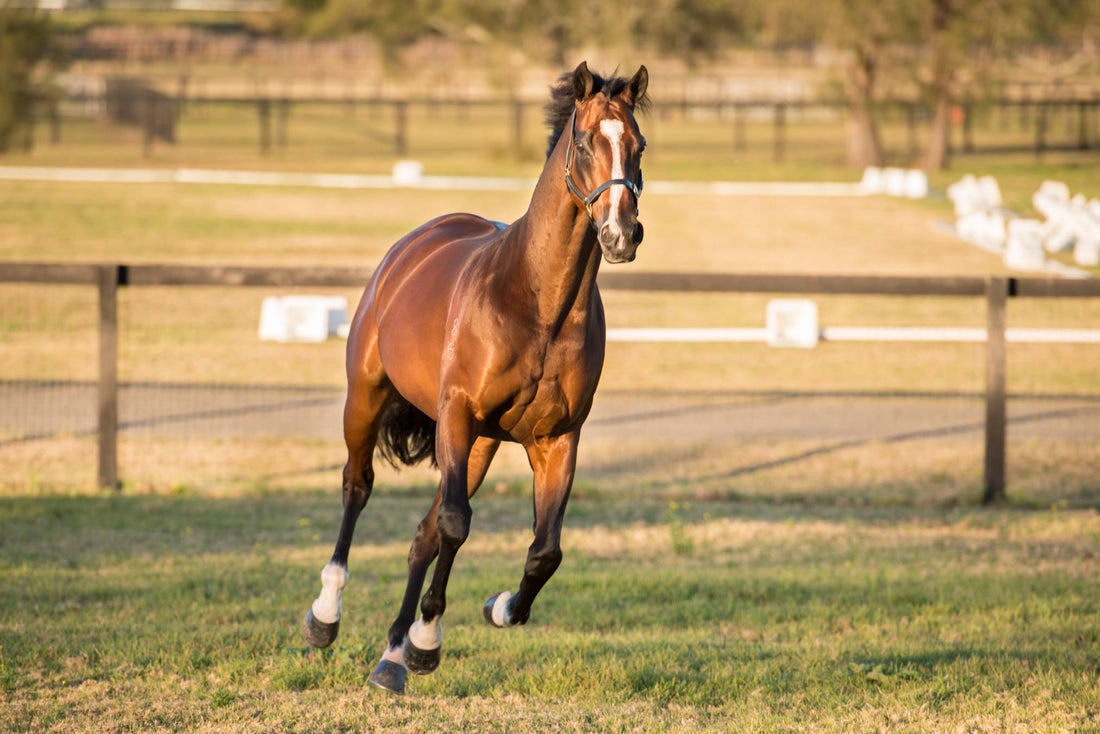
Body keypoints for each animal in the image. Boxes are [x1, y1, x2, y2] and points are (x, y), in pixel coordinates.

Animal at [302, 61, 649, 695]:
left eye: (639, 146)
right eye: (586, 143)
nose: (621, 235)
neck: (538, 304)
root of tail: (414, 243)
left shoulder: (556, 439)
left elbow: (543, 551)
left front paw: (494, 610)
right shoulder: (459, 414)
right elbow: (457, 524)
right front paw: (426, 643)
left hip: (481, 444)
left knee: (423, 532)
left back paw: (391, 657)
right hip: (369, 400)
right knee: (358, 486)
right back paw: (327, 616)